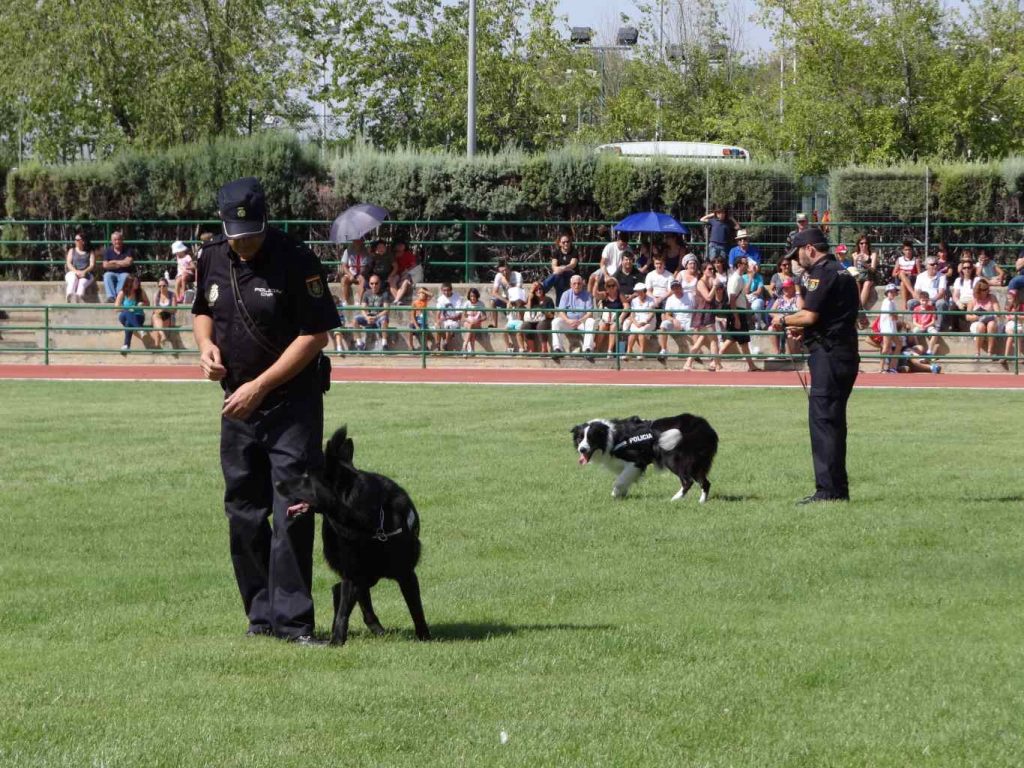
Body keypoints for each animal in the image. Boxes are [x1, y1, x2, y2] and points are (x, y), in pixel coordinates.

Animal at [274, 428, 430, 651]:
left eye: (306, 477)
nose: (276, 483)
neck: (372, 524)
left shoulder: (406, 574)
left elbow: (416, 608)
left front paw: (425, 637)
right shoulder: (352, 572)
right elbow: (343, 613)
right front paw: (336, 641)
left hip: (370, 576)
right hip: (362, 574)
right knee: (341, 592)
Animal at [573, 415, 716, 505]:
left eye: (591, 438)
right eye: (580, 438)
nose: (582, 449)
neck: (612, 437)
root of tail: (707, 427)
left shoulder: (636, 461)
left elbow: (618, 481)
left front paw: (615, 494)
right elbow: (624, 480)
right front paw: (621, 494)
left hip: (675, 458)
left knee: (688, 481)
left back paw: (675, 499)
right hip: (696, 463)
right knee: (705, 482)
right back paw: (702, 501)